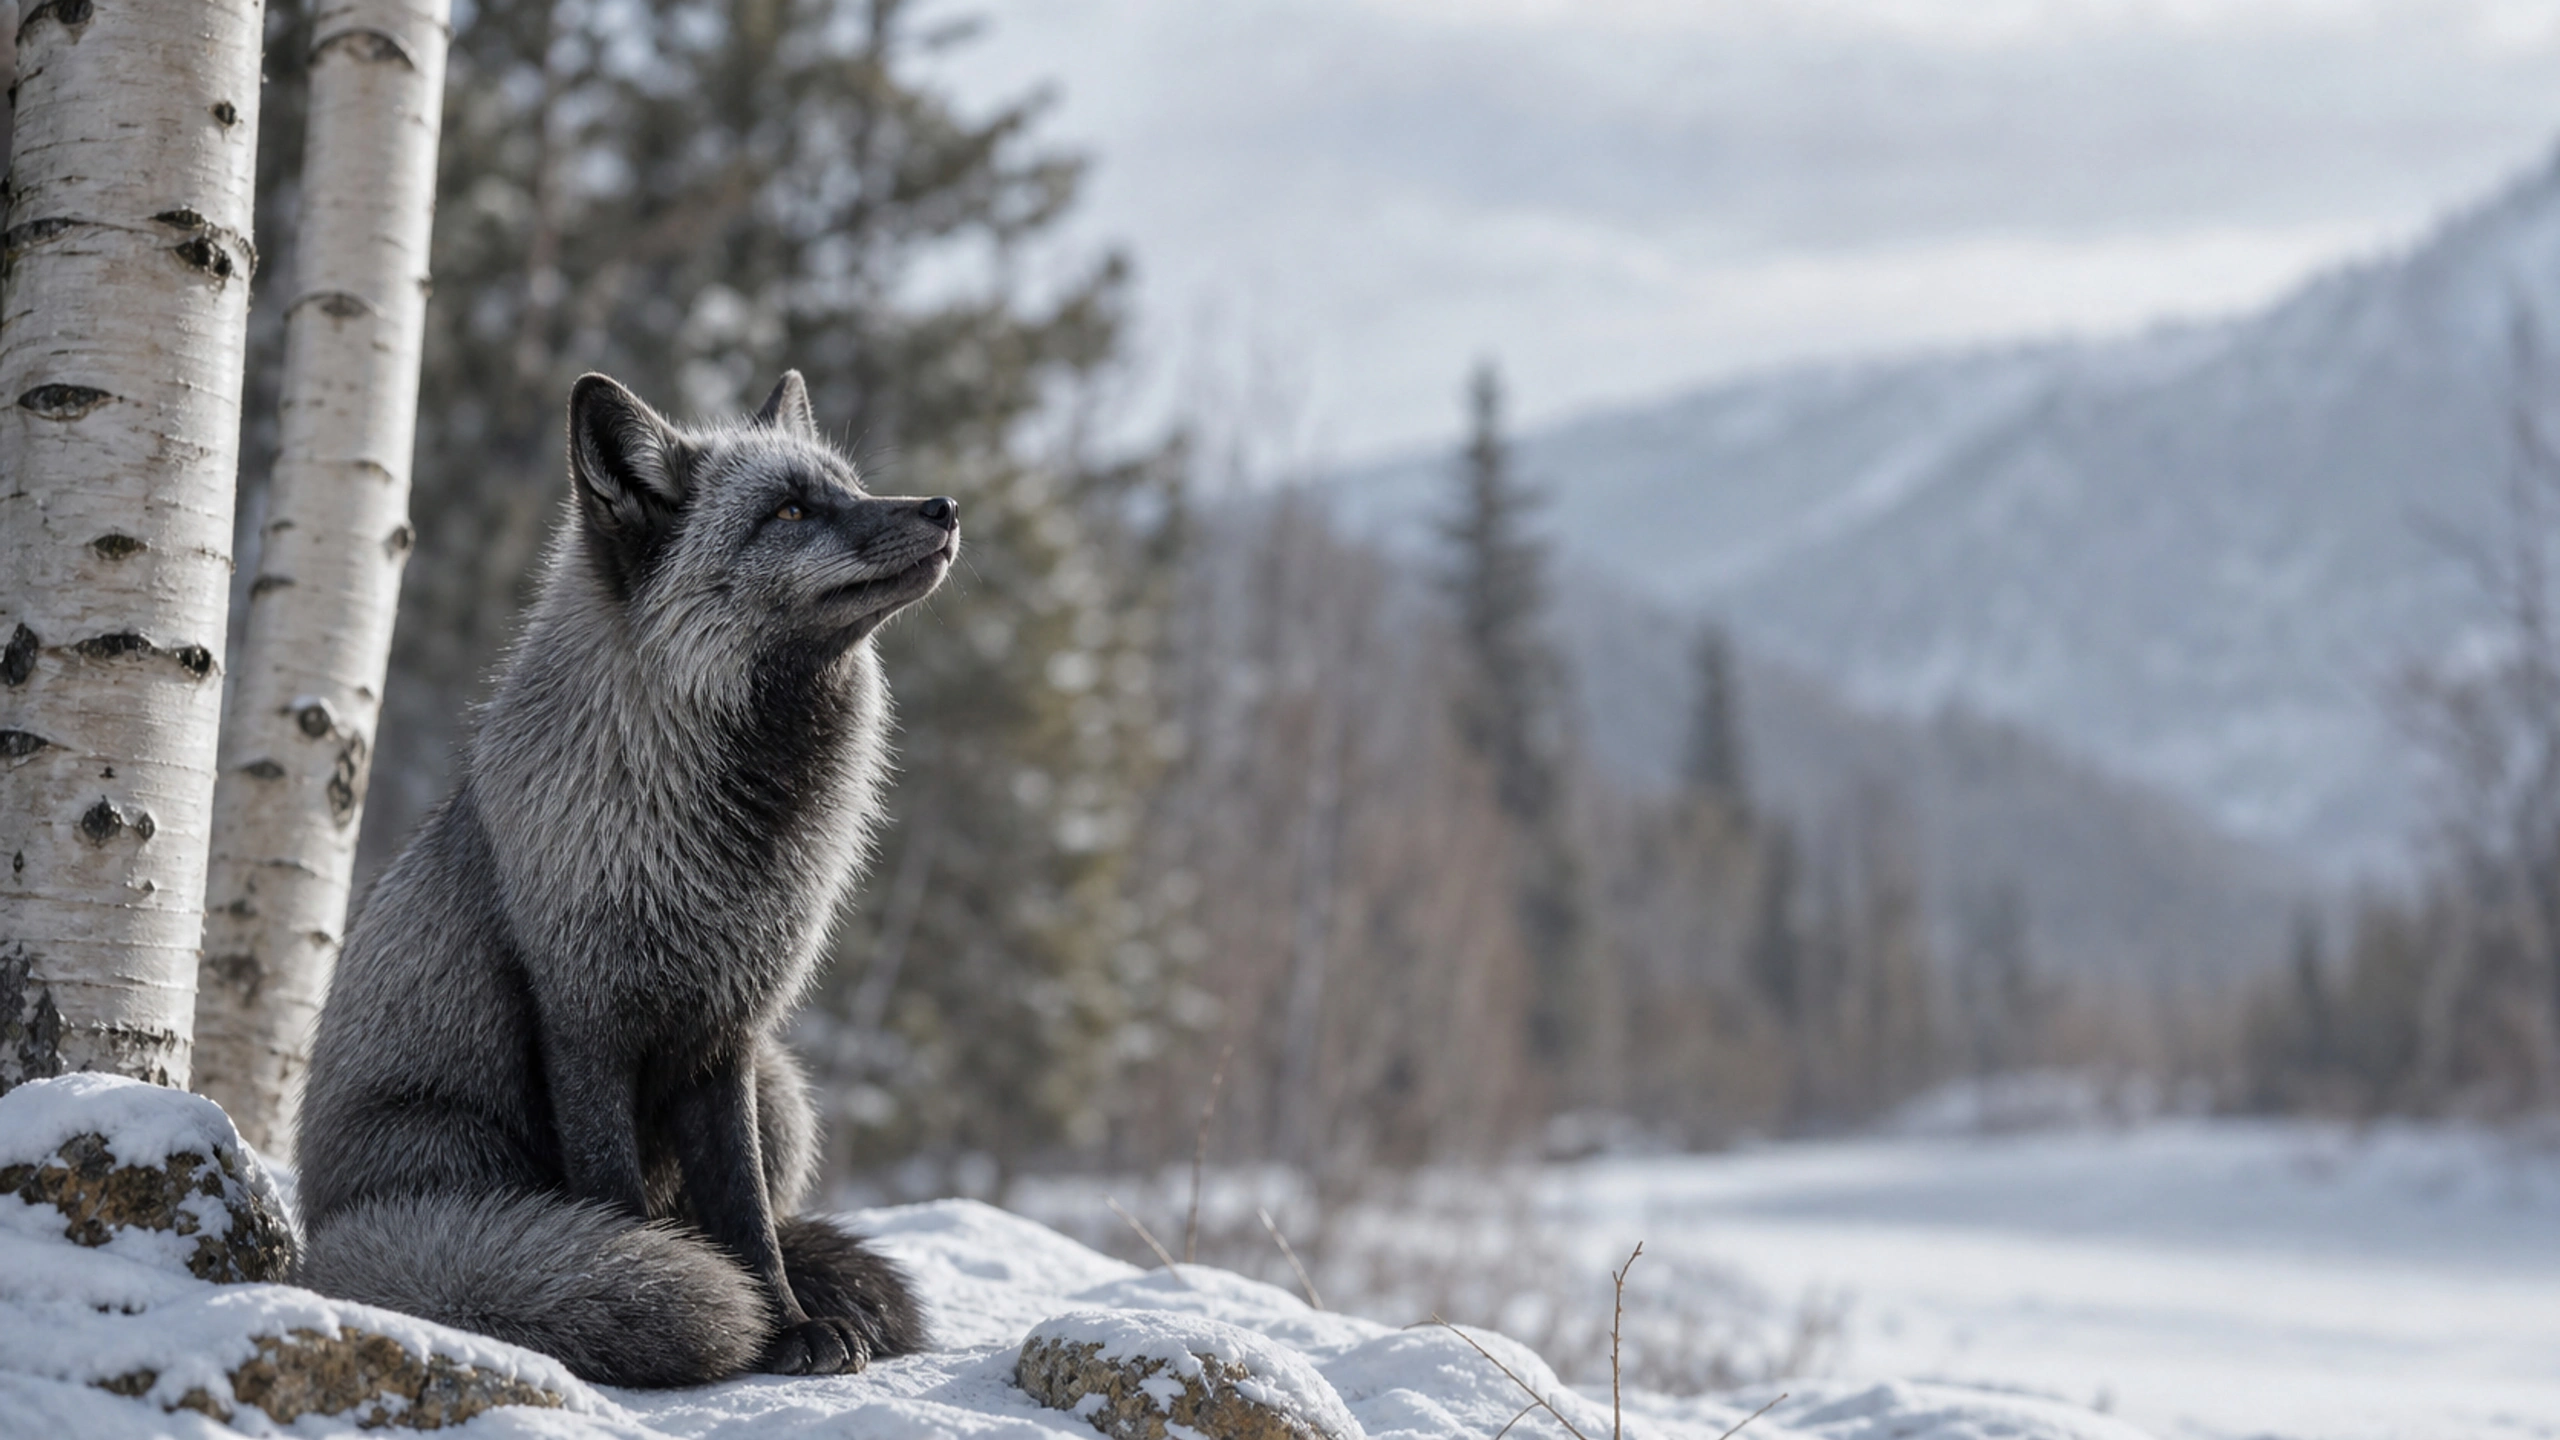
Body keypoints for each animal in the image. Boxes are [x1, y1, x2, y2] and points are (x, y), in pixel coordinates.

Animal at [292, 371, 946, 1386]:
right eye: (791, 511)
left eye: (851, 486)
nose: (945, 507)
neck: (720, 845)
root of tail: (313, 1238)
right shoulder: (585, 1028)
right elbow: (616, 1207)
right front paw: (683, 1293)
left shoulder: (727, 1040)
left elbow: (748, 1220)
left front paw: (788, 1325)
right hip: (461, 1145)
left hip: (784, 1094)